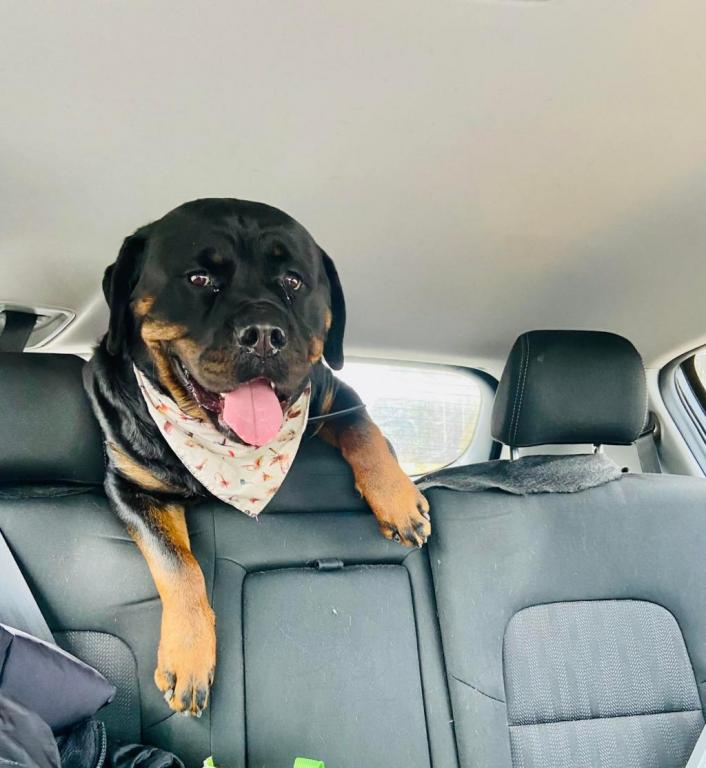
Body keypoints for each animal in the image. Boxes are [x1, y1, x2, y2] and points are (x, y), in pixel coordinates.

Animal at [84, 198, 431, 716]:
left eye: (293, 280)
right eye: (199, 278)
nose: (264, 333)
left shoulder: (331, 391)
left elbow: (363, 429)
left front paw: (398, 500)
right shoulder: (130, 486)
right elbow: (177, 564)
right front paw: (189, 656)